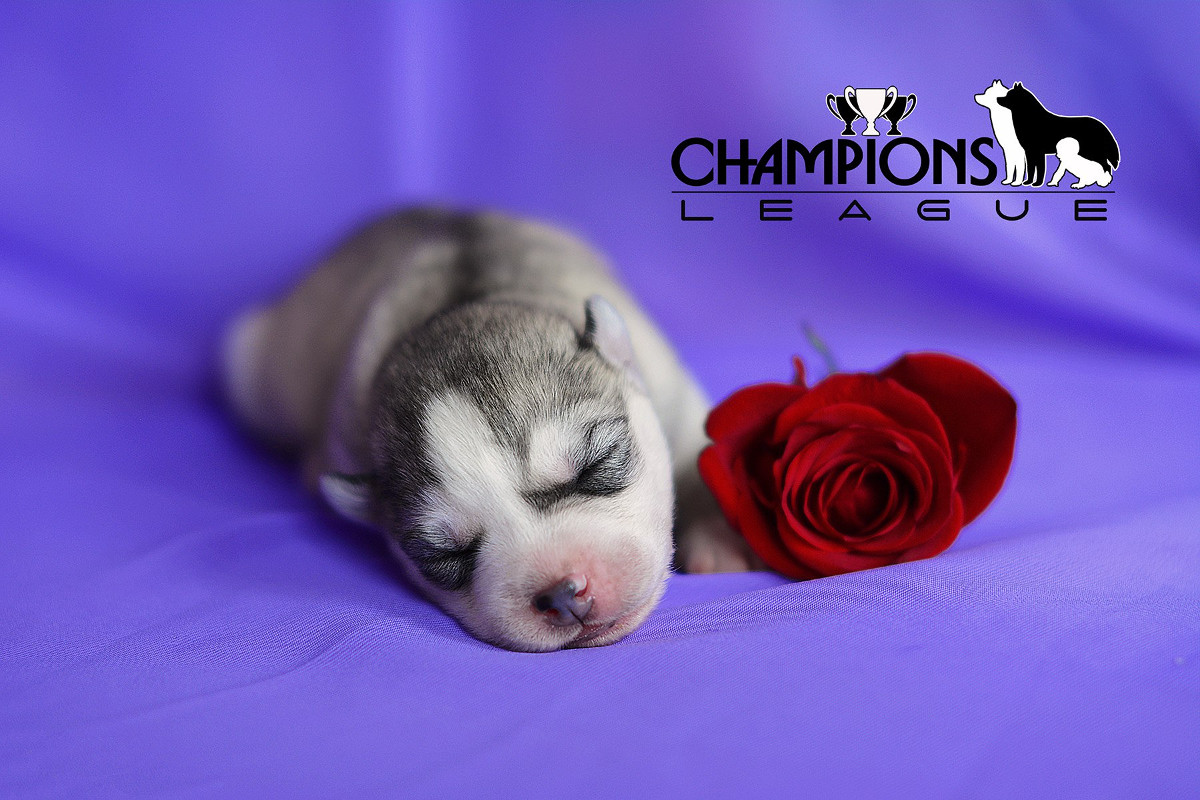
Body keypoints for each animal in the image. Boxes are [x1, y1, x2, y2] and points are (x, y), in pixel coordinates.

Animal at [222, 208, 758, 651]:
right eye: (445, 557)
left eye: (595, 467)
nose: (563, 594)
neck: (463, 304)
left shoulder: (669, 386)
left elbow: (697, 451)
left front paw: (719, 541)